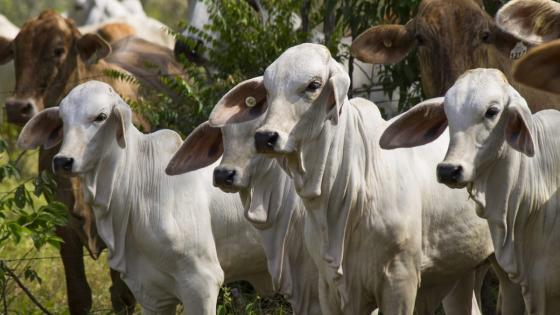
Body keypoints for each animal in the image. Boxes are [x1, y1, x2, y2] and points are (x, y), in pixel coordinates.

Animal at [0, 10, 185, 315]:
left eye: (58, 50)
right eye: (15, 50)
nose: (17, 107)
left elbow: (123, 297)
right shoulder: (64, 229)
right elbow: (79, 296)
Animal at [205, 42, 494, 315]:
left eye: (313, 85)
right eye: (268, 89)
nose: (266, 137)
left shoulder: (400, 279)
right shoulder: (328, 286)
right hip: (462, 270)